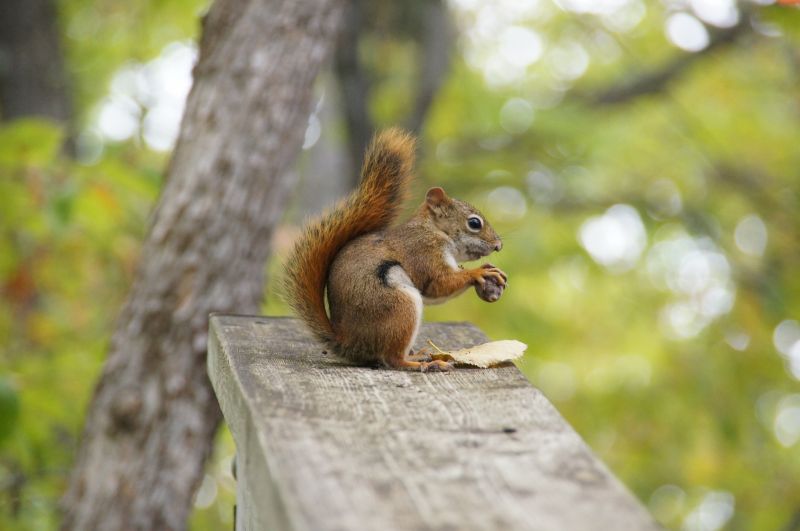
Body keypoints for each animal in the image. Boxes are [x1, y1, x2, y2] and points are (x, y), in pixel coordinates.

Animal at [283, 128, 507, 372]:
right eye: (474, 223)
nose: (498, 246)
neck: (435, 231)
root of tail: (348, 343)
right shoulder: (422, 252)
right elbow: (438, 283)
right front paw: (480, 272)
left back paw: (421, 354)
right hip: (399, 307)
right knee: (392, 359)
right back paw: (423, 363)